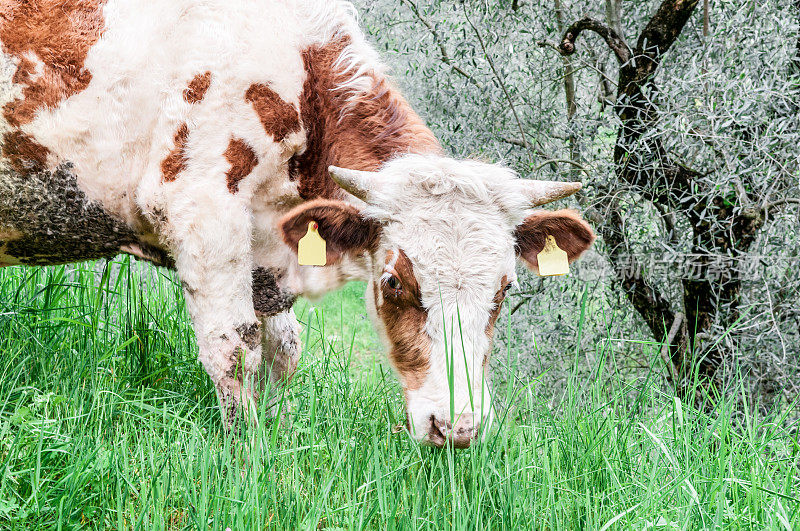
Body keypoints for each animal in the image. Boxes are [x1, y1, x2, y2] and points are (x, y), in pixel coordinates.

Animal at [0, 0, 592, 448]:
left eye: (504, 288)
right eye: (392, 282)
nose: (457, 427)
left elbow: (285, 351)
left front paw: (278, 431)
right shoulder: (202, 211)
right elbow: (234, 348)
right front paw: (245, 451)